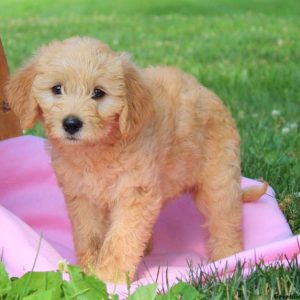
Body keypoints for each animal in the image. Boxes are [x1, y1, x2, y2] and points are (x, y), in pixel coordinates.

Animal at [5, 36, 266, 282]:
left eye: (98, 93)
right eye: (57, 89)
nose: (71, 124)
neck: (98, 148)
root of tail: (209, 93)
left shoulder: (133, 193)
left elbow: (121, 238)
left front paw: (110, 277)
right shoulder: (82, 196)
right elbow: (89, 235)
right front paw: (88, 270)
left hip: (219, 180)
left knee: (225, 220)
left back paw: (228, 256)